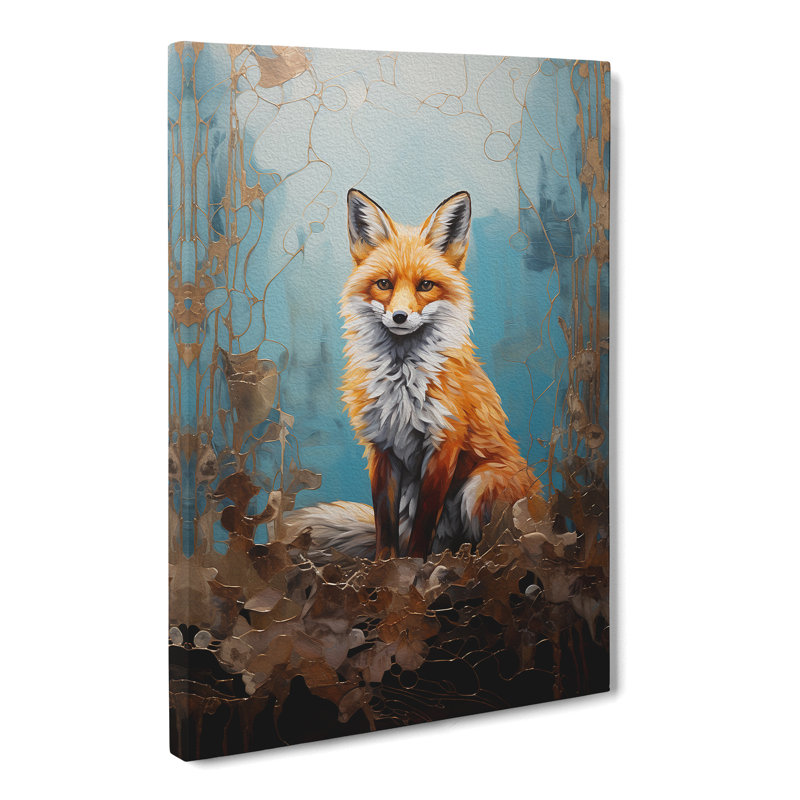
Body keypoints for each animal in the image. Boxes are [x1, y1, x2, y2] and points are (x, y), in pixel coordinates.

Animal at [285, 189, 544, 562]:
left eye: (425, 285)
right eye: (384, 284)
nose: (399, 316)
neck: (402, 381)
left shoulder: (443, 443)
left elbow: (425, 521)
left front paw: (413, 565)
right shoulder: (381, 447)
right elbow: (384, 523)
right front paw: (386, 565)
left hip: (480, 484)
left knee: (488, 541)